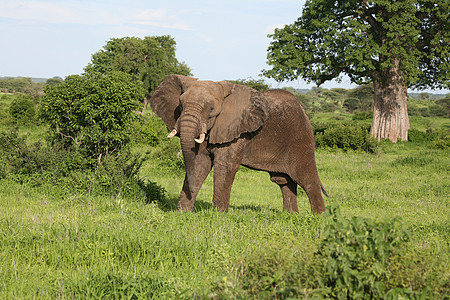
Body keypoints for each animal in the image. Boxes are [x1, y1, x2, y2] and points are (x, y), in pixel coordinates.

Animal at [150, 76, 326, 214]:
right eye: (180, 105)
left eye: (211, 109)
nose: (191, 191)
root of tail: (303, 110)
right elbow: (200, 162)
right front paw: (183, 213)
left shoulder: (237, 131)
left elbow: (225, 165)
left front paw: (219, 214)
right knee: (284, 181)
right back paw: (290, 216)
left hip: (300, 139)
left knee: (307, 179)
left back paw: (319, 218)